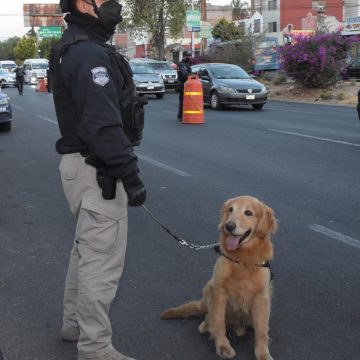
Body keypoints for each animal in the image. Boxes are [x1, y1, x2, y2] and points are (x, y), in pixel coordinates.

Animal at [162, 197, 278, 360]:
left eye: (248, 212)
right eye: (230, 209)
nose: (229, 226)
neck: (242, 260)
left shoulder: (262, 297)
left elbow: (261, 329)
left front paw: (263, 353)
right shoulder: (219, 291)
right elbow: (218, 321)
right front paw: (222, 345)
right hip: (210, 286)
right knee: (209, 314)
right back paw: (206, 325)